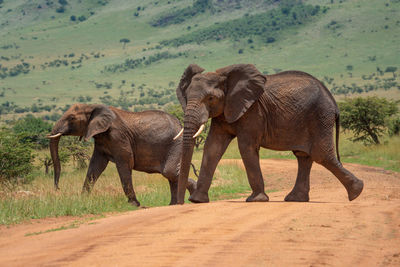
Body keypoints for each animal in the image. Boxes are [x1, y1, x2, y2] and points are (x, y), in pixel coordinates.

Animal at [48, 103, 197, 207]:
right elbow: (96, 166)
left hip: (176, 143)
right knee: (171, 175)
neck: (93, 106)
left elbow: (125, 163)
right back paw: (174, 204)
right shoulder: (101, 139)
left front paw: (134, 204)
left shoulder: (118, 136)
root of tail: (180, 124)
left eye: (71, 118)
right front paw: (83, 199)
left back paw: (192, 196)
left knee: (169, 172)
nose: (57, 189)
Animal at [173, 63, 364, 205]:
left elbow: (246, 146)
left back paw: (357, 192)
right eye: (186, 96)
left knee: (321, 155)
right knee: (304, 156)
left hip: (320, 117)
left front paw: (256, 200)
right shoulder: (224, 111)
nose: (181, 203)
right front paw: (197, 201)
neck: (224, 75)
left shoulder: (253, 111)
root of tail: (334, 102)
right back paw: (296, 199)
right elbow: (213, 148)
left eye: (210, 98)